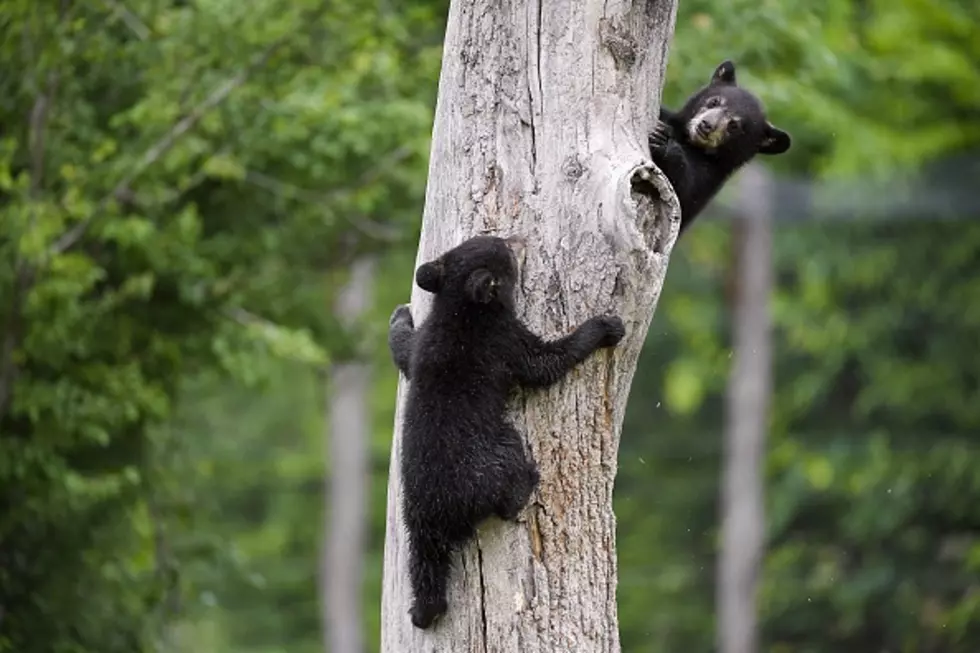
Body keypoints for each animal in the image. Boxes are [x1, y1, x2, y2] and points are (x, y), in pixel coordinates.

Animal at [387, 234, 626, 629]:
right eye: (504, 250)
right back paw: (530, 479)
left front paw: (400, 315)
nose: (515, 237)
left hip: (414, 521)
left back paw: (424, 612)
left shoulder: (426, 344)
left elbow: (404, 349)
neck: (461, 311)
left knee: (425, 564)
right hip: (496, 455)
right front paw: (605, 327)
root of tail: (440, 509)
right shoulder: (504, 342)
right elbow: (544, 363)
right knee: (508, 487)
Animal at [649, 59, 791, 236]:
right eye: (714, 101)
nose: (706, 125)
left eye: (734, 125)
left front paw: (662, 141)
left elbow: (682, 197)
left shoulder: (710, 177)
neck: (690, 142)